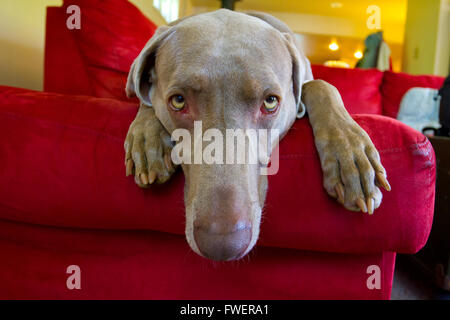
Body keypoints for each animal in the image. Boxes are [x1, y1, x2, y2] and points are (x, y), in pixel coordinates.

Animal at [124, 10, 390, 262]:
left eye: (270, 101)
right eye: (178, 101)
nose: (222, 245)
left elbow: (321, 85)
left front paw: (351, 159)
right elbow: (144, 96)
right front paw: (148, 140)